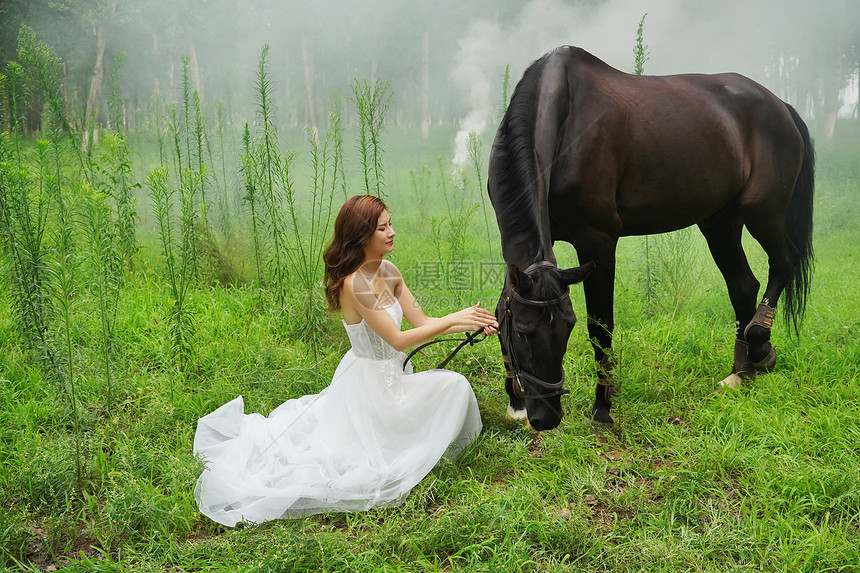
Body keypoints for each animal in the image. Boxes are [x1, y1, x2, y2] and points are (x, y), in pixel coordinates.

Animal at [490, 47, 812, 428]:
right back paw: (741, 371)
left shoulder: (597, 241)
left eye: (567, 328)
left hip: (763, 210)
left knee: (784, 262)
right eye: (523, 332)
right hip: (720, 220)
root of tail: (780, 106)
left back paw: (760, 345)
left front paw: (602, 409)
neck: (566, 123)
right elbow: (499, 309)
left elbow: (601, 326)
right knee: (743, 285)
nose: (547, 417)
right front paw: (515, 403)